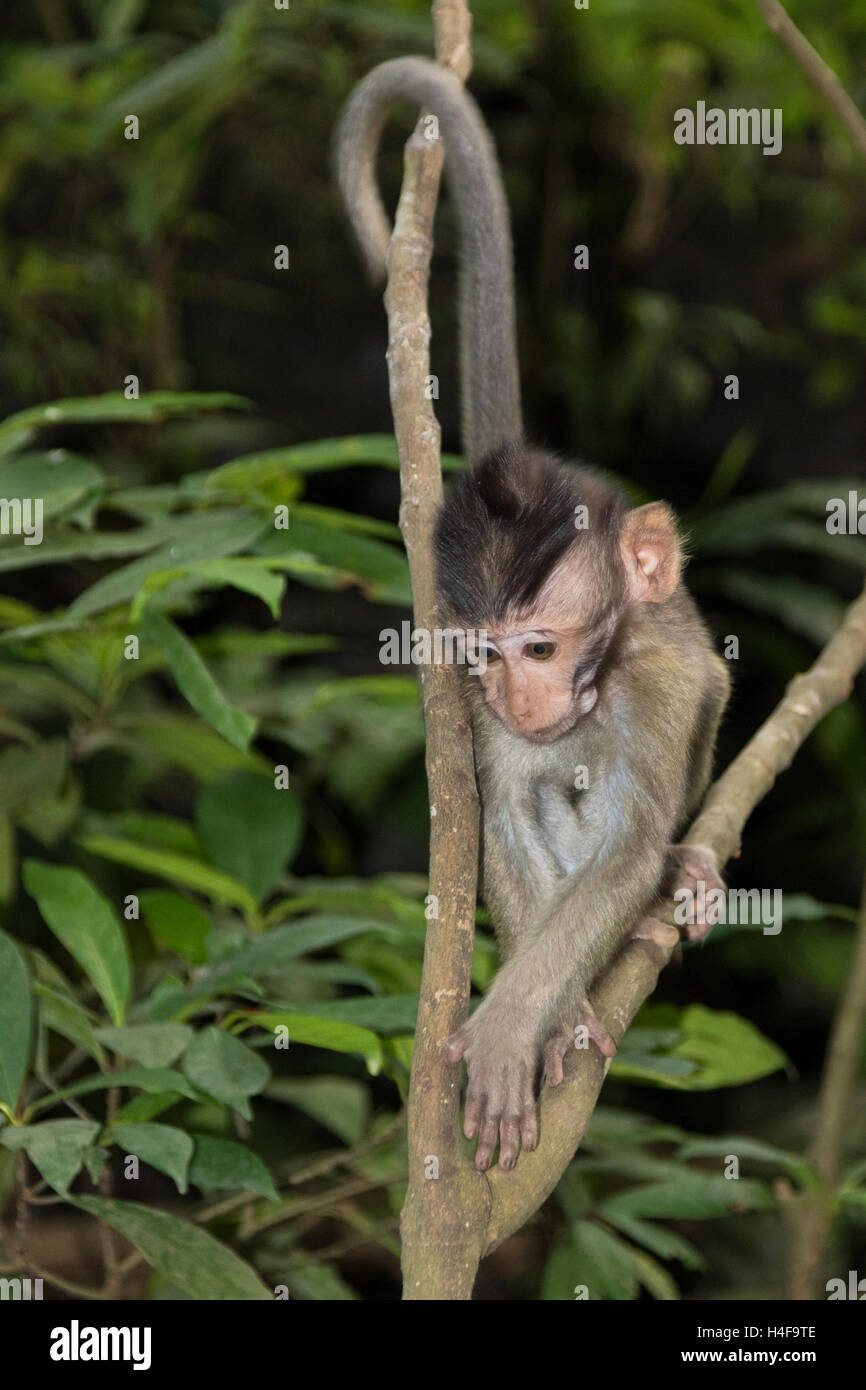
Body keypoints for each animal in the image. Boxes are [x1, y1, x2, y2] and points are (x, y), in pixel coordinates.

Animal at [336, 57, 730, 1172]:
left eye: (542, 647)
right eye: (486, 658)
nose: (517, 700)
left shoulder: (647, 688)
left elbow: (626, 845)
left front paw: (516, 1022)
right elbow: (506, 818)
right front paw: (547, 1021)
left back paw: (683, 865)